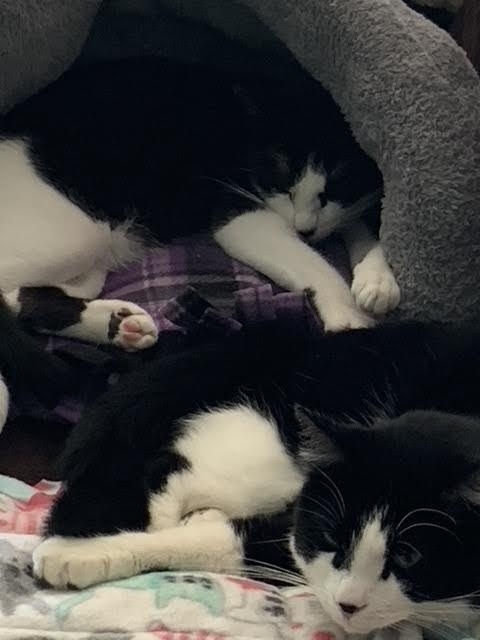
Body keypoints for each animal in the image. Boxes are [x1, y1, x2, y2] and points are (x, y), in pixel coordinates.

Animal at [33, 321, 480, 640]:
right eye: (332, 538)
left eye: (409, 557)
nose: (347, 606)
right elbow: (229, 541)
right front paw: (76, 553)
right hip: (276, 453)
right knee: (169, 467)